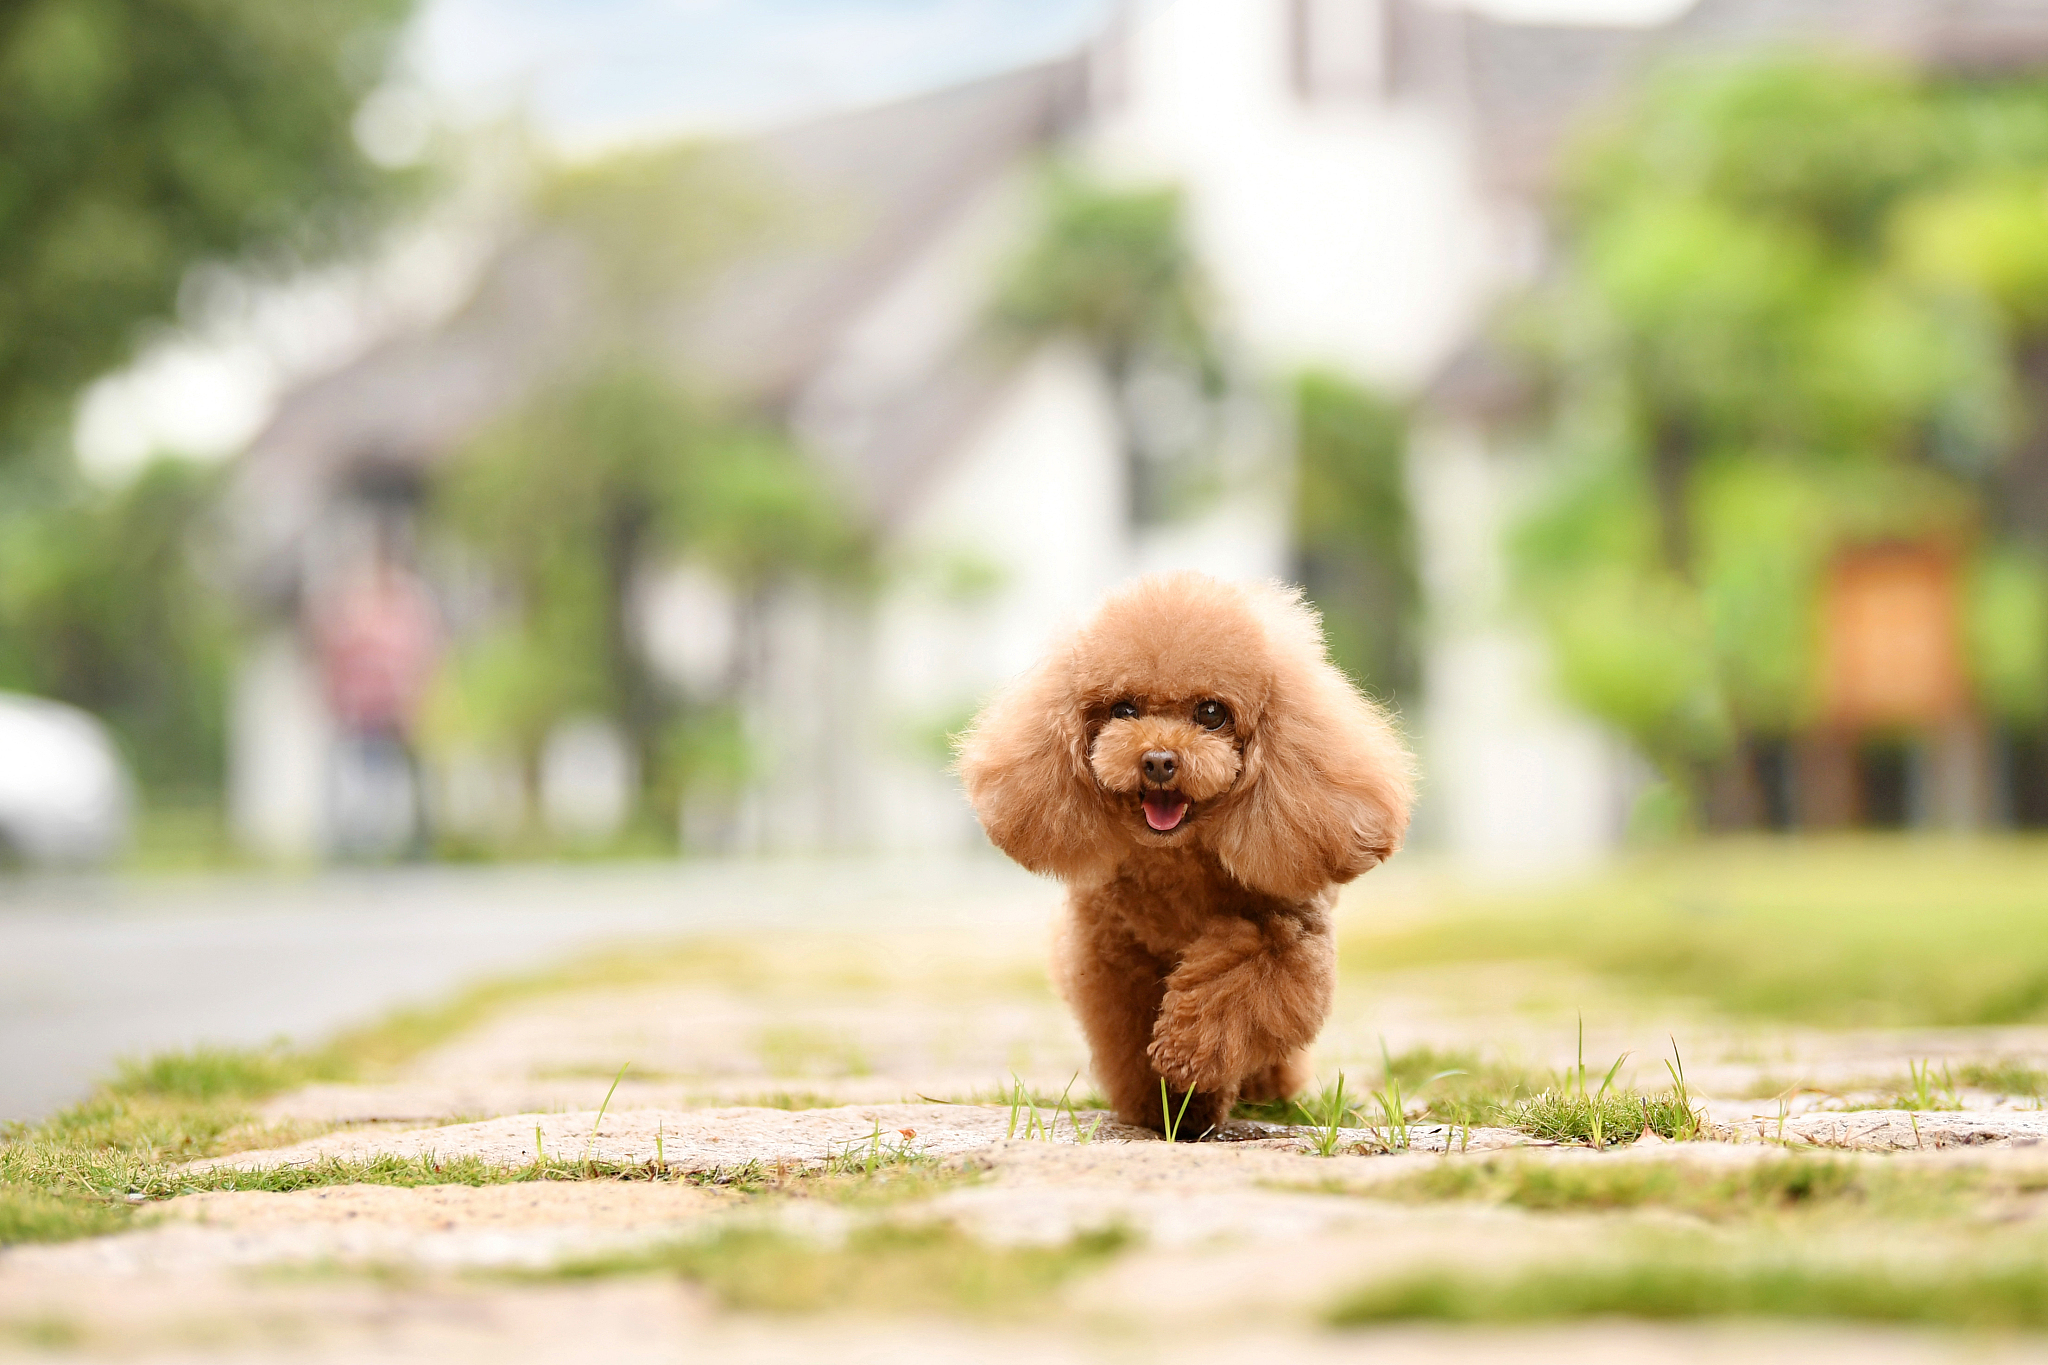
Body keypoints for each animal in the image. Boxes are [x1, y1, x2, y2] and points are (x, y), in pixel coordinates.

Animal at [954, 573, 1409, 1137]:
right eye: (1124, 709)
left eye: (1211, 713)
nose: (1158, 761)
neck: (1176, 859)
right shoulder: (1115, 957)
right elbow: (1128, 1029)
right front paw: (1168, 1107)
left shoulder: (1288, 931)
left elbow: (1241, 987)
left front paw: (1187, 1066)